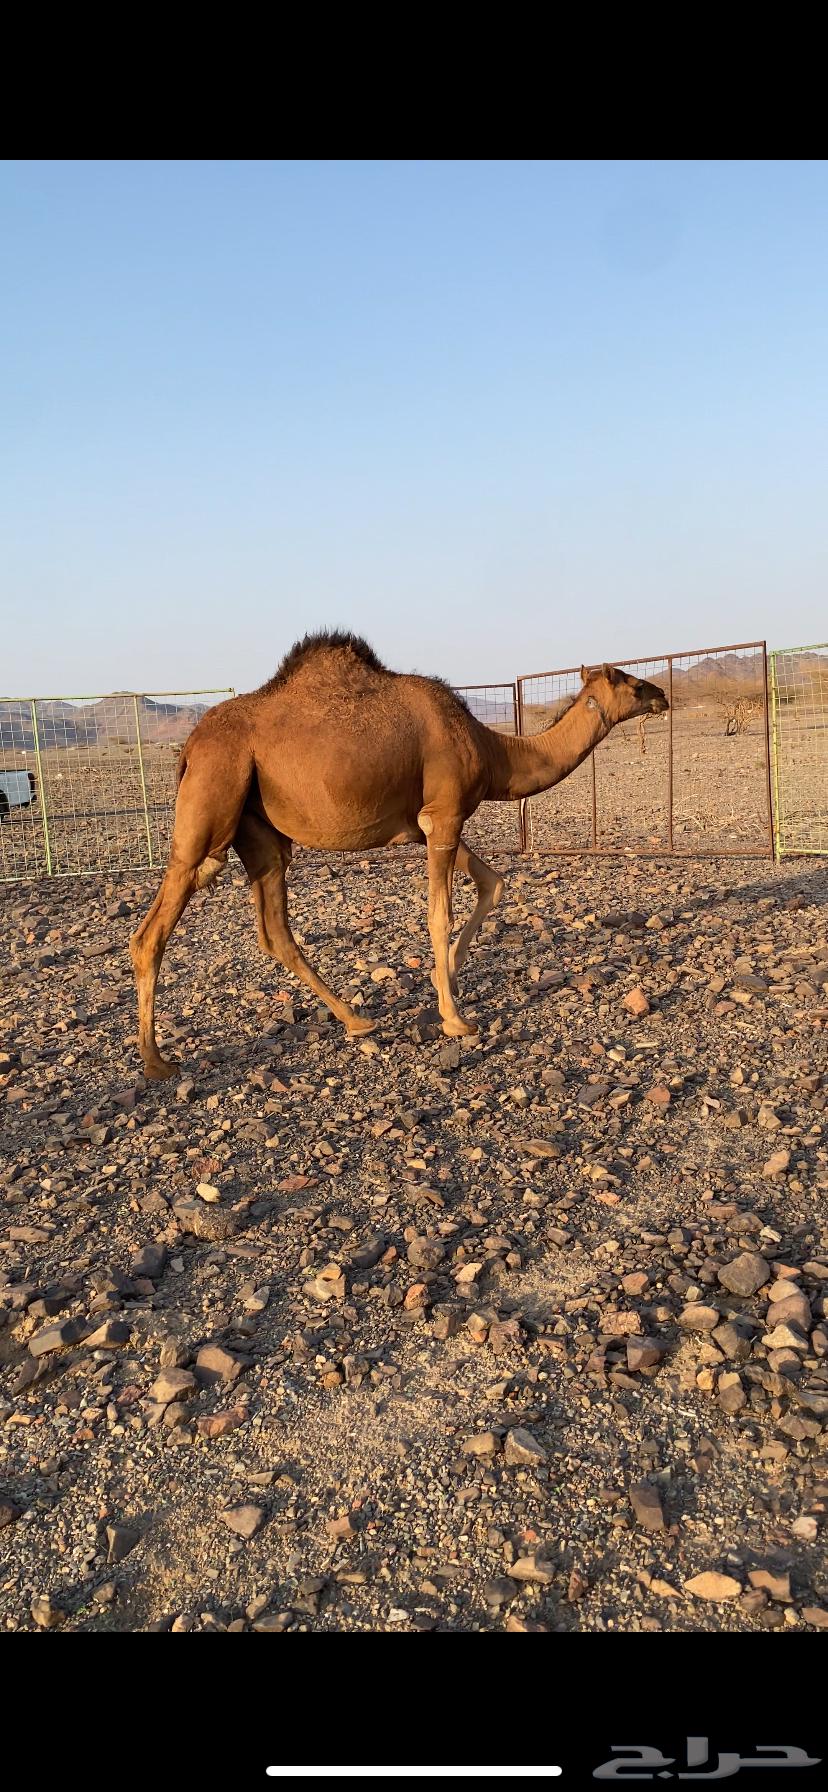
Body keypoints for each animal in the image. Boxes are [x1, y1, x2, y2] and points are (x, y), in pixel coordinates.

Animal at [130, 632, 668, 1077]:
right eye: (629, 681)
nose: (662, 694)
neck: (492, 749)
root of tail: (190, 747)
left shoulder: (422, 824)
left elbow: (492, 883)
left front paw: (445, 974)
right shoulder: (445, 814)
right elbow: (438, 913)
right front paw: (455, 1018)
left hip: (258, 832)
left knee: (274, 930)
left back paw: (357, 1020)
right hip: (211, 801)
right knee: (153, 929)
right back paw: (156, 1061)